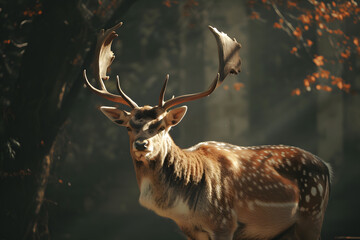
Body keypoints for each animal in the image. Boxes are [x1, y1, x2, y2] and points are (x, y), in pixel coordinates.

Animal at [83, 21, 330, 239]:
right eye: (129, 126)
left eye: (161, 126)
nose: (141, 144)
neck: (186, 207)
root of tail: (326, 167)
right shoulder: (190, 230)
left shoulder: (224, 222)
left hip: (312, 214)